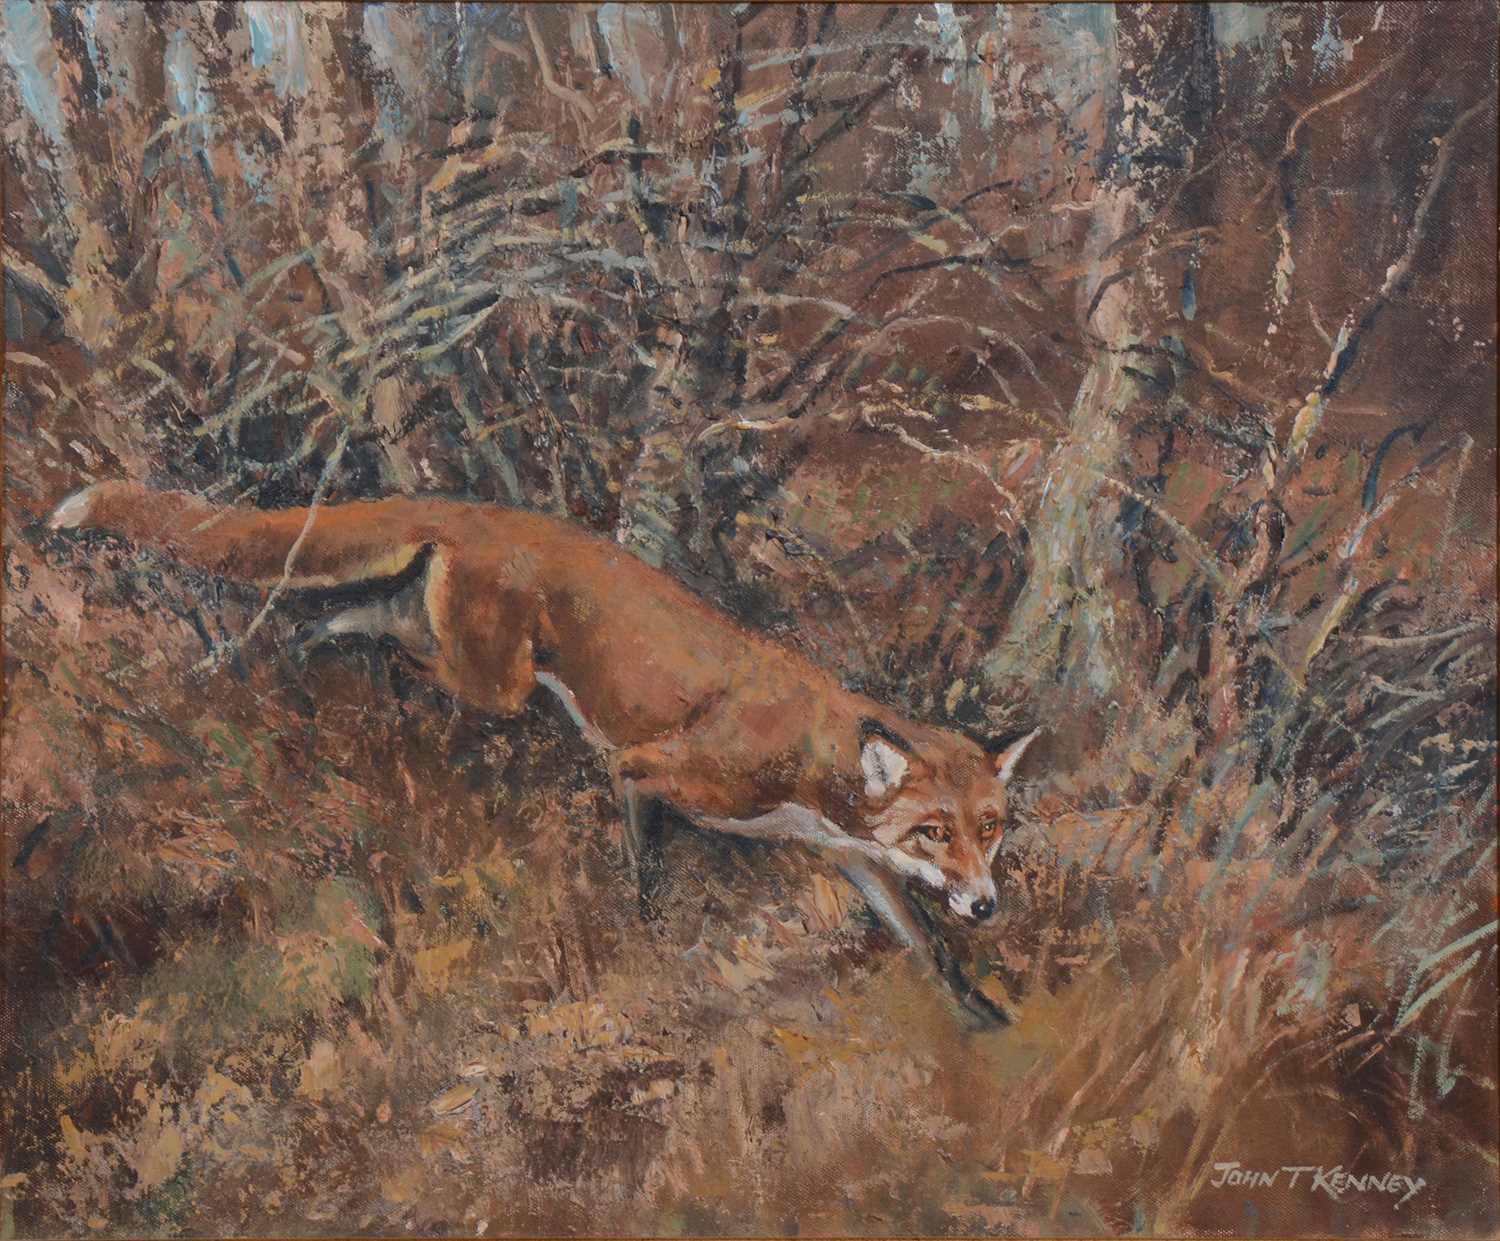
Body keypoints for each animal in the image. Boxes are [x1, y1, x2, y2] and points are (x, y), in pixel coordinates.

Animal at [48, 481, 1038, 1014]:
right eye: (933, 831)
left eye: (989, 827)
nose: (988, 903)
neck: (809, 760)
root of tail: (487, 508)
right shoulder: (645, 769)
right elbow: (644, 870)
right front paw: (648, 935)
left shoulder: (847, 857)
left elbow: (924, 948)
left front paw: (983, 1017)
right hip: (497, 684)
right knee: (385, 630)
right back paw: (312, 646)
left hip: (473, 659)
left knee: (360, 608)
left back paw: (303, 640)